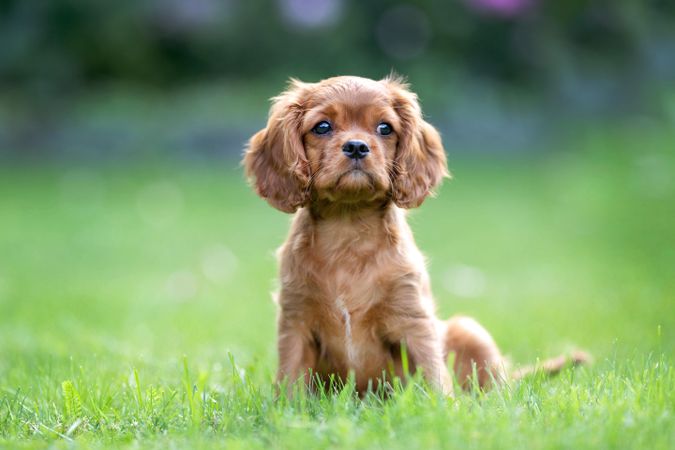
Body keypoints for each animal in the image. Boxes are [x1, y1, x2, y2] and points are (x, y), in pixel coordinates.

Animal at [243, 75, 588, 396]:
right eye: (322, 126)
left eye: (385, 128)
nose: (356, 146)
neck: (348, 227)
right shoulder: (295, 322)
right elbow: (291, 377)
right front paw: (288, 410)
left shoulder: (414, 321)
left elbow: (432, 371)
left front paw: (445, 409)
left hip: (470, 330)